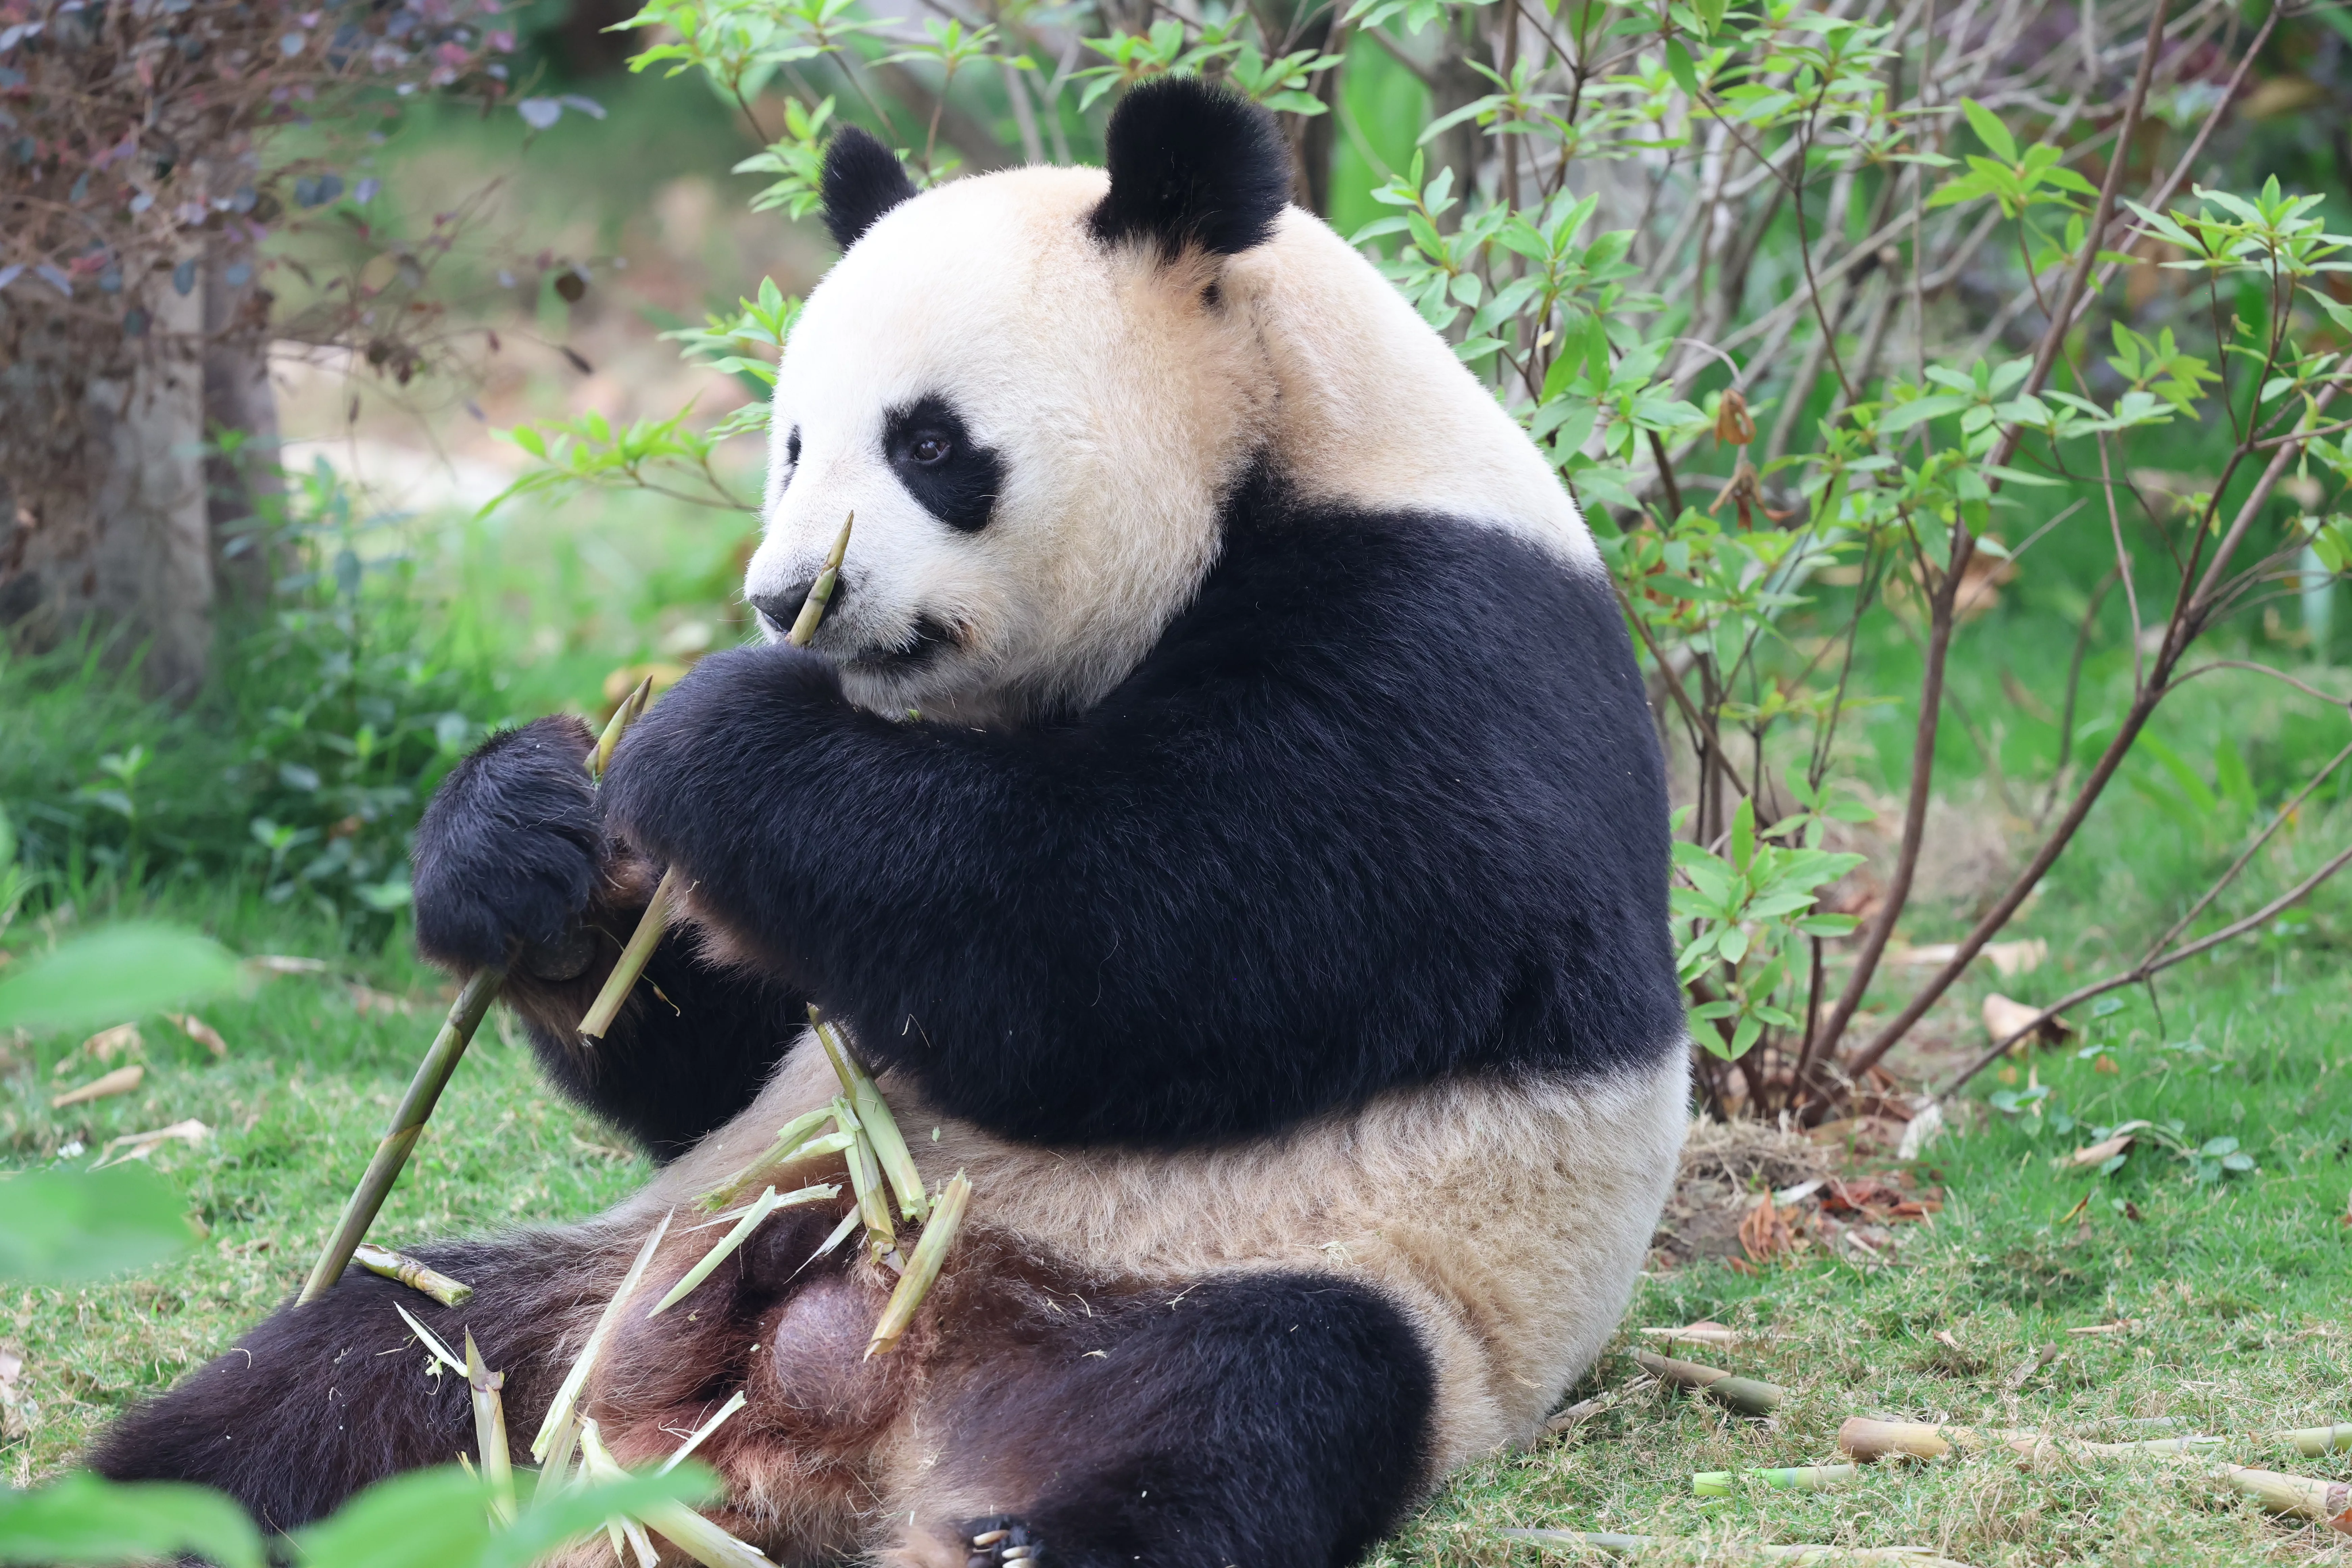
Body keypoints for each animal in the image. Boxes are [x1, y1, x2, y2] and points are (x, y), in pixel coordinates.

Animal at [93, 79, 1688, 1568]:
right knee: (343, 1378)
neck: (1282, 429)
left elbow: (1138, 941)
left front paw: (707, 738)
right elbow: (738, 1038)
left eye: (929, 443)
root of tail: (839, 1401)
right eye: (791, 442)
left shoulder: (1440, 647)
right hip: (616, 1276)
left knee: (1242, 1406)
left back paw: (1034, 1524)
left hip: (1274, 1279)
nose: (784, 594)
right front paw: (533, 842)